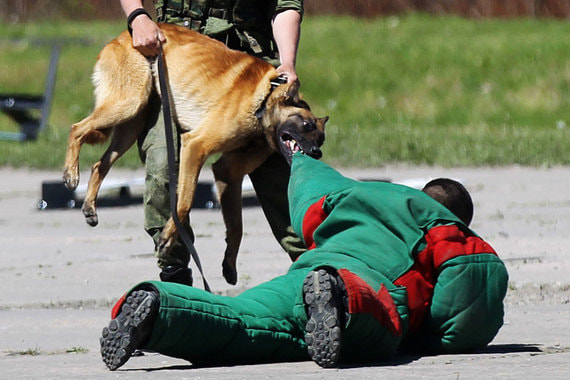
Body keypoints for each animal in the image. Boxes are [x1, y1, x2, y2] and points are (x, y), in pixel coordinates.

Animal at [62, 23, 326, 284]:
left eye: (321, 138)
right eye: (306, 125)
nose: (316, 153)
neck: (264, 99)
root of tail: (121, 37)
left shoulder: (227, 173)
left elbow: (236, 226)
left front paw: (229, 264)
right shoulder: (196, 147)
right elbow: (185, 202)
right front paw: (169, 236)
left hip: (131, 124)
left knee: (99, 164)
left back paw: (89, 206)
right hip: (128, 104)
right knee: (76, 129)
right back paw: (71, 174)